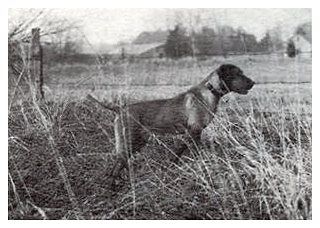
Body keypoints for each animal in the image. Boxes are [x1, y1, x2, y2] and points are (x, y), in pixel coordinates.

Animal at [87, 63, 255, 179]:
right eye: (238, 74)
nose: (253, 82)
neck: (210, 91)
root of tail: (119, 109)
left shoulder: (192, 133)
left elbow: (179, 150)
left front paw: (172, 163)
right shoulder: (194, 130)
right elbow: (189, 150)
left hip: (137, 143)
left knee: (117, 166)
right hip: (129, 142)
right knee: (115, 167)